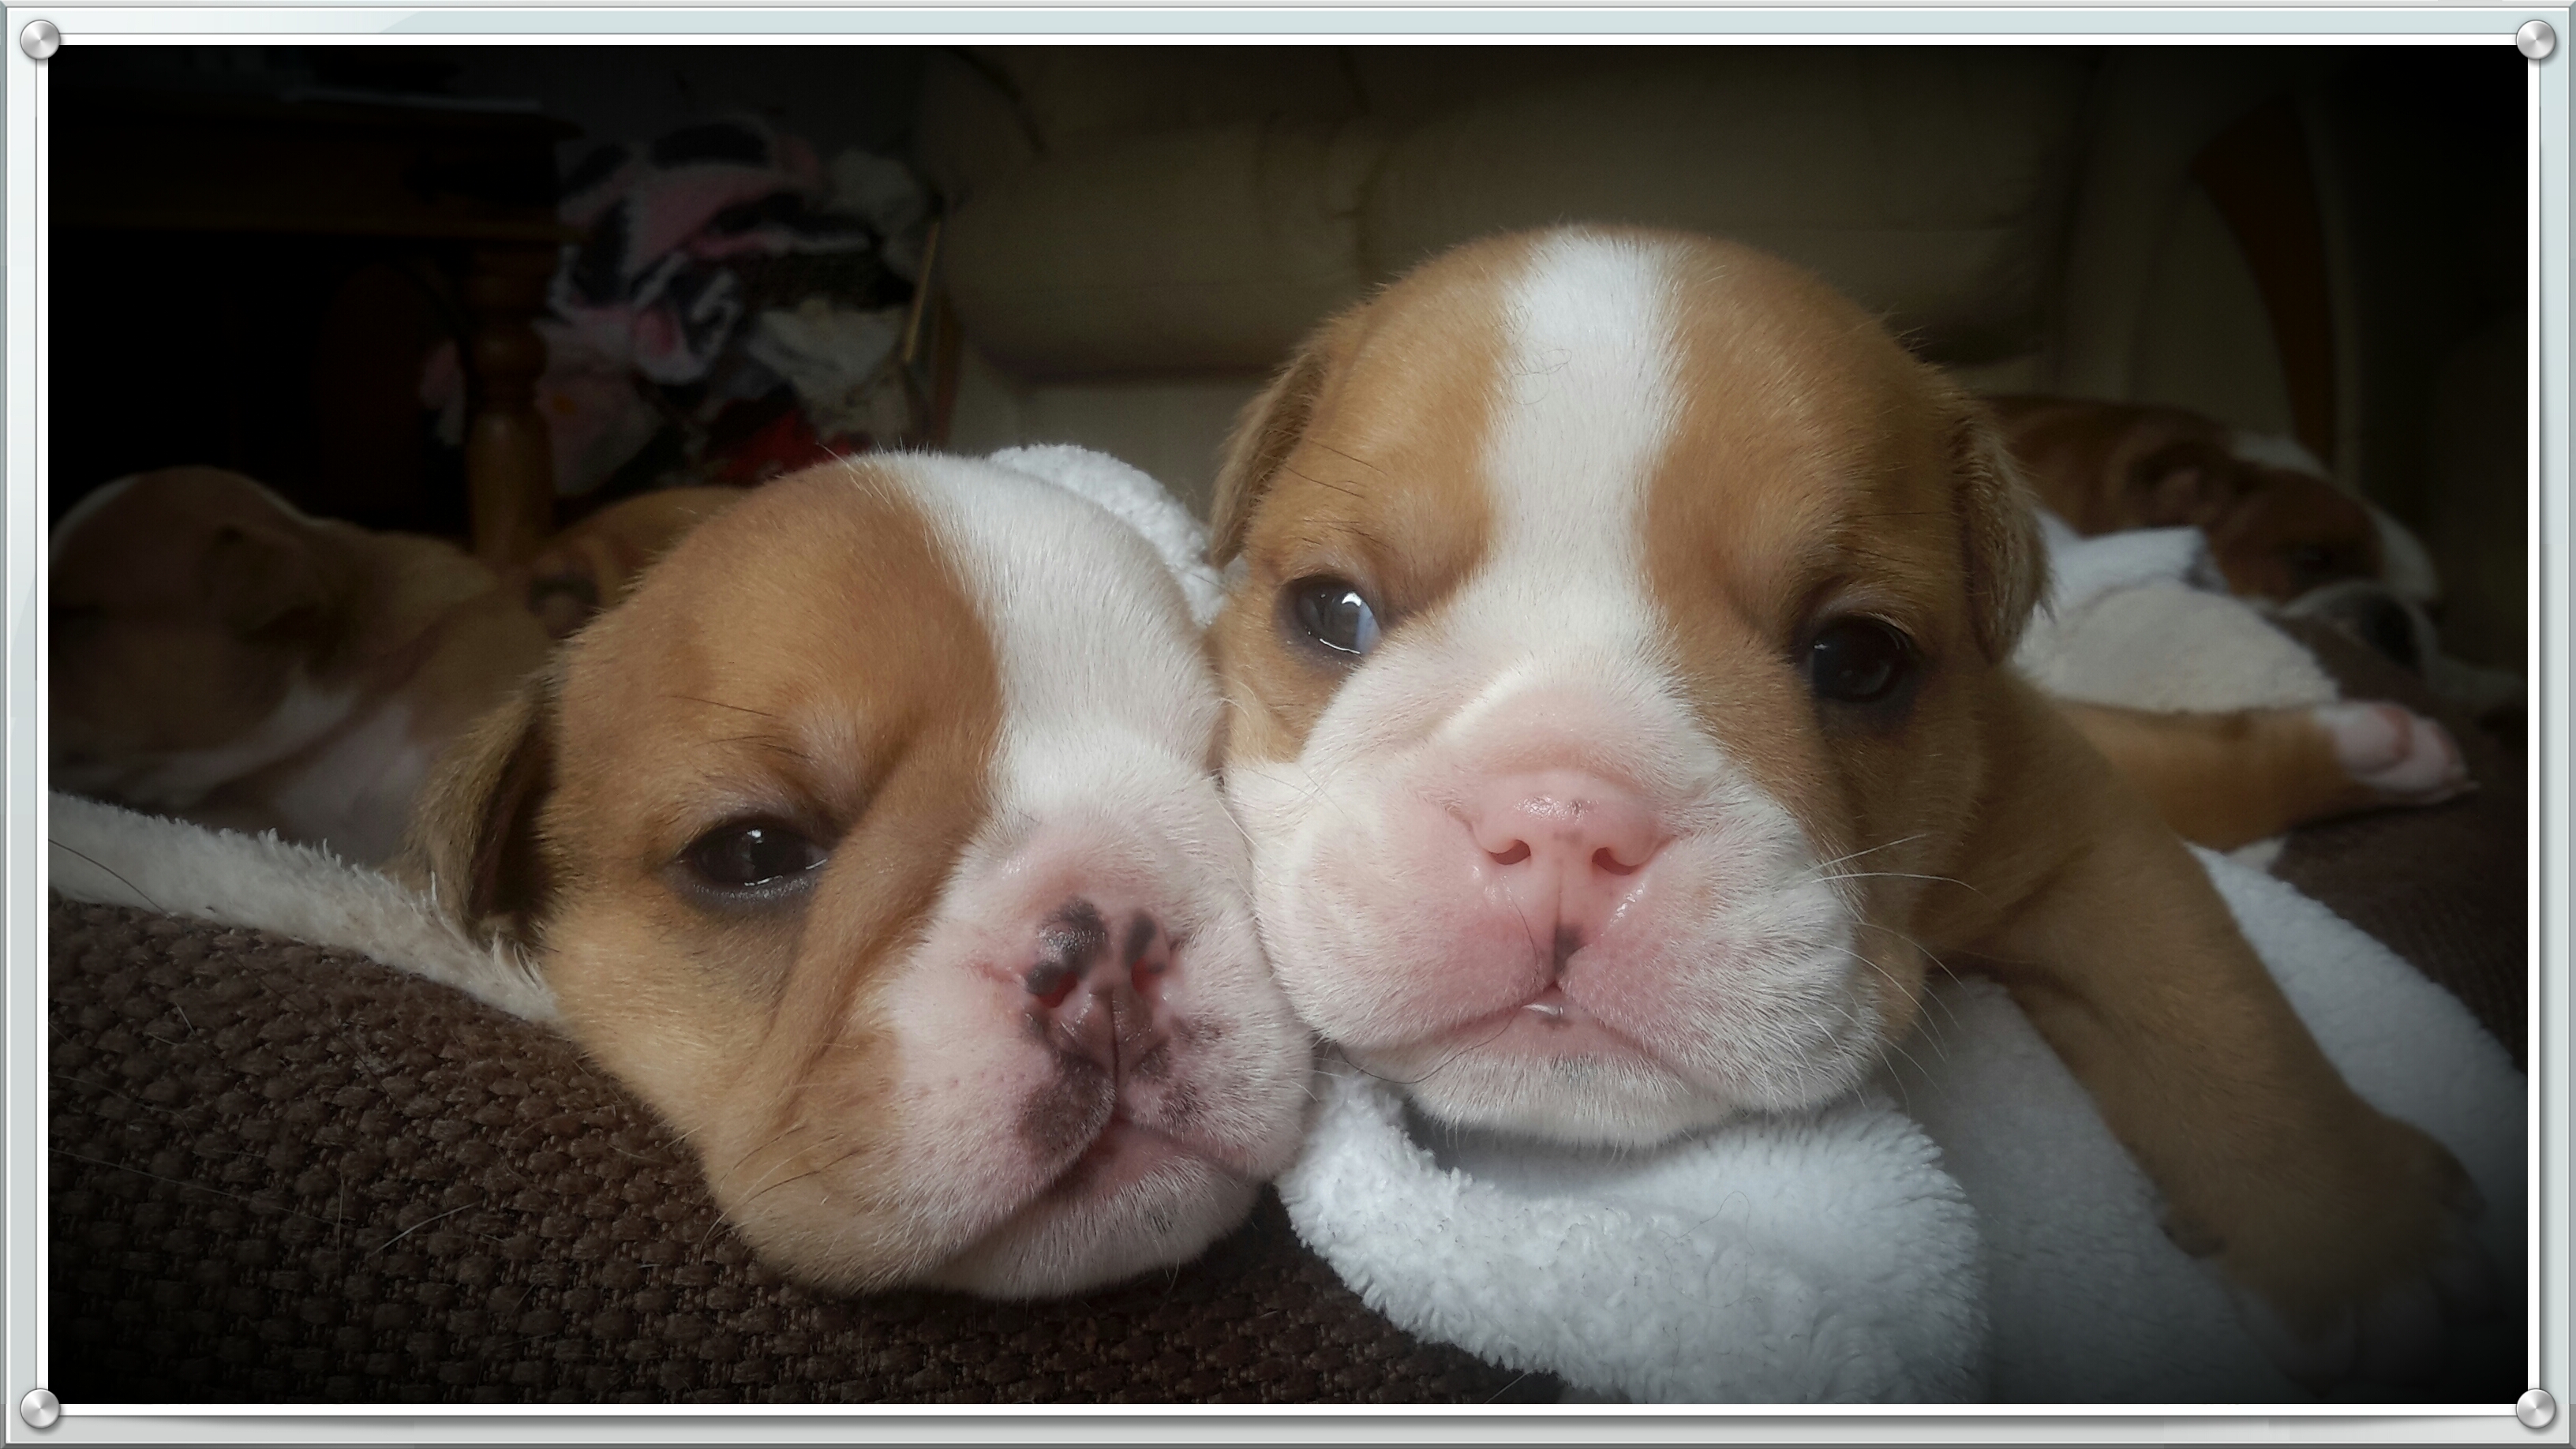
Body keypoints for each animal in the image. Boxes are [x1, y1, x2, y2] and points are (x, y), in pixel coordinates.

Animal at [1205, 225, 2493, 1371]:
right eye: (1331, 611)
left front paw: (2356, 1245)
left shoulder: (2083, 835)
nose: (1566, 827)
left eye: (1860, 660)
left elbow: (2212, 1015)